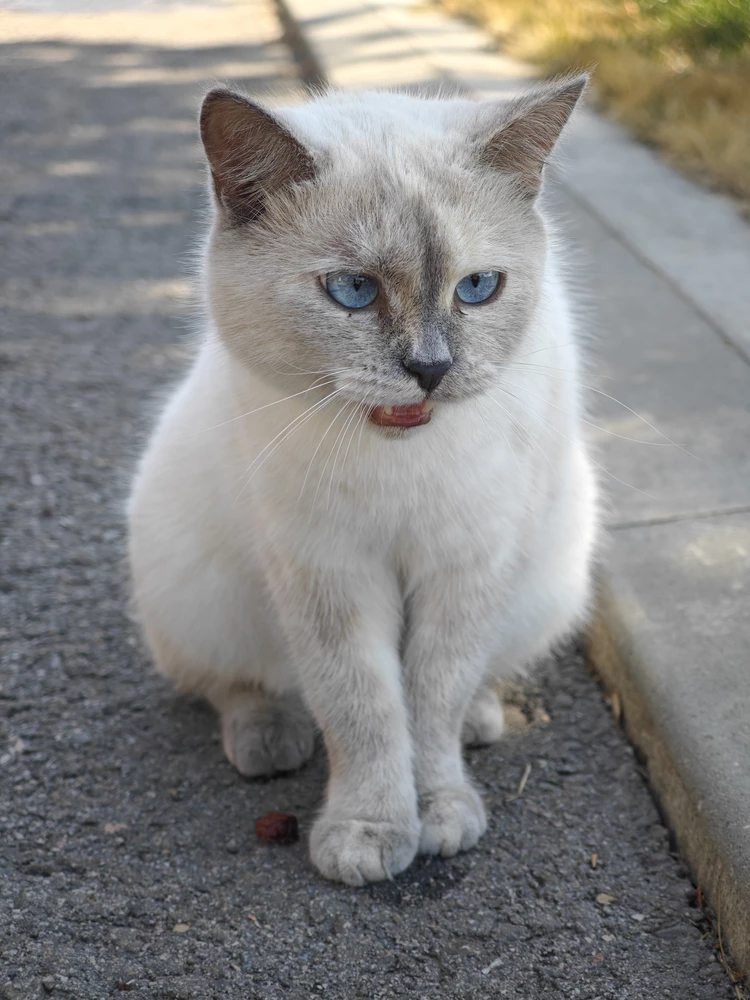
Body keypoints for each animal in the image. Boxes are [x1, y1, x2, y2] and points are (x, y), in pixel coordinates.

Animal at [128, 82, 600, 888]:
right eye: (353, 292)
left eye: (478, 288)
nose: (432, 369)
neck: (398, 457)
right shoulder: (330, 573)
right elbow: (365, 709)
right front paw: (370, 833)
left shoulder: (464, 567)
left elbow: (432, 702)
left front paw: (439, 813)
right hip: (189, 583)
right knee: (234, 683)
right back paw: (268, 739)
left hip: (549, 573)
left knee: (475, 683)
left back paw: (482, 721)